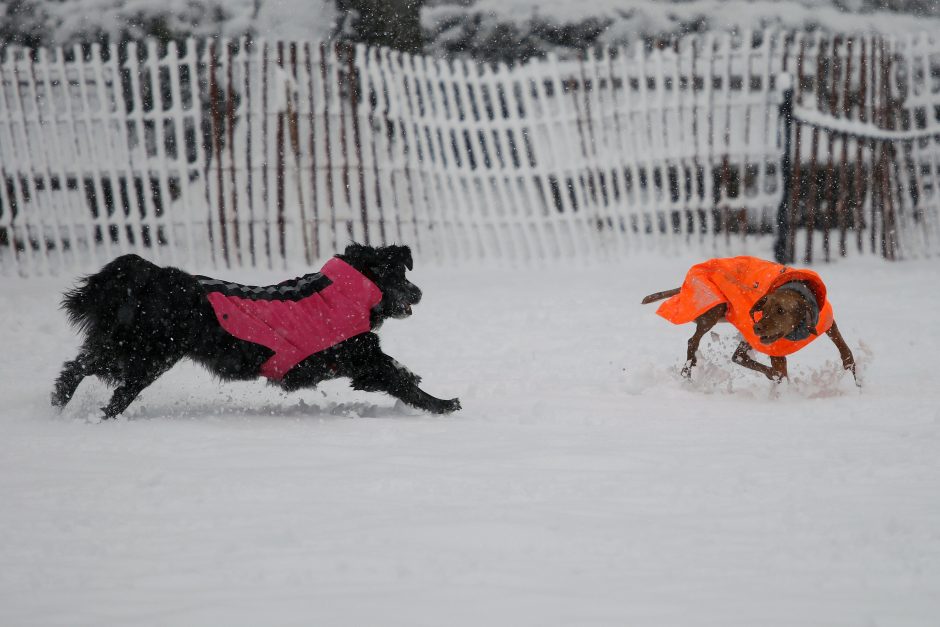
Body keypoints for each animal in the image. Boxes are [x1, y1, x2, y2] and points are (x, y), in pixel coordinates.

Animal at [52, 243, 462, 420]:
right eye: (399, 274)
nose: (419, 293)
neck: (346, 291)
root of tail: (154, 277)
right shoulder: (361, 356)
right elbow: (399, 378)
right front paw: (443, 405)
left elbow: (400, 374)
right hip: (145, 355)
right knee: (109, 388)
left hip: (131, 350)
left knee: (78, 366)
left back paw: (59, 404)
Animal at [644, 258, 856, 386]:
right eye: (764, 309)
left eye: (780, 310)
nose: (757, 326)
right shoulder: (773, 348)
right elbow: (778, 370)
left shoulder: (828, 323)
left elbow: (845, 352)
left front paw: (855, 381)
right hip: (715, 308)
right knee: (696, 343)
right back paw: (687, 372)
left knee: (737, 356)